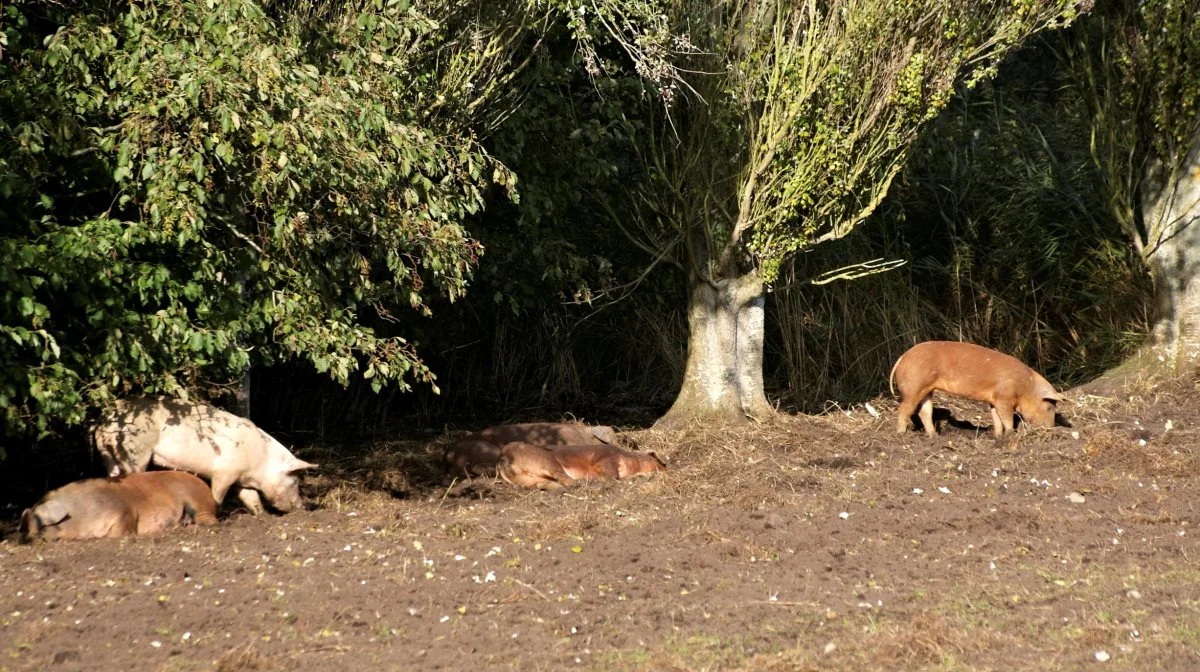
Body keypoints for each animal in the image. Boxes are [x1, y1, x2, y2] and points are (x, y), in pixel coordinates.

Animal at [18, 470, 218, 542]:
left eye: (41, 525)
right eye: (28, 526)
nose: (27, 538)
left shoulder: (125, 511)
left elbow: (121, 530)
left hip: (198, 500)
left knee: (208, 519)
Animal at [93, 398, 316, 513]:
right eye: (294, 481)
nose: (301, 506)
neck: (260, 462)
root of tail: (106, 420)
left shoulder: (243, 479)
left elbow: (250, 498)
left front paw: (261, 516)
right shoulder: (225, 472)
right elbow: (217, 494)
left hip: (107, 453)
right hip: (135, 451)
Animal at [494, 444, 667, 492]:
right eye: (660, 462)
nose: (667, 468)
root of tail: (503, 455)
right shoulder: (605, 459)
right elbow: (611, 474)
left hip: (529, 477)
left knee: (542, 483)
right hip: (545, 459)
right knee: (561, 475)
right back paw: (581, 483)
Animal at [888, 338, 1065, 439]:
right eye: (1049, 407)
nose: (1052, 427)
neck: (1026, 387)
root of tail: (902, 357)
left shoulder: (994, 399)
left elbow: (996, 417)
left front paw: (998, 436)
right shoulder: (1005, 397)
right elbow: (1006, 417)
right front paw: (1010, 435)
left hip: (926, 389)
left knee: (924, 412)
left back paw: (934, 437)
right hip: (914, 387)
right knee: (904, 409)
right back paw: (901, 434)